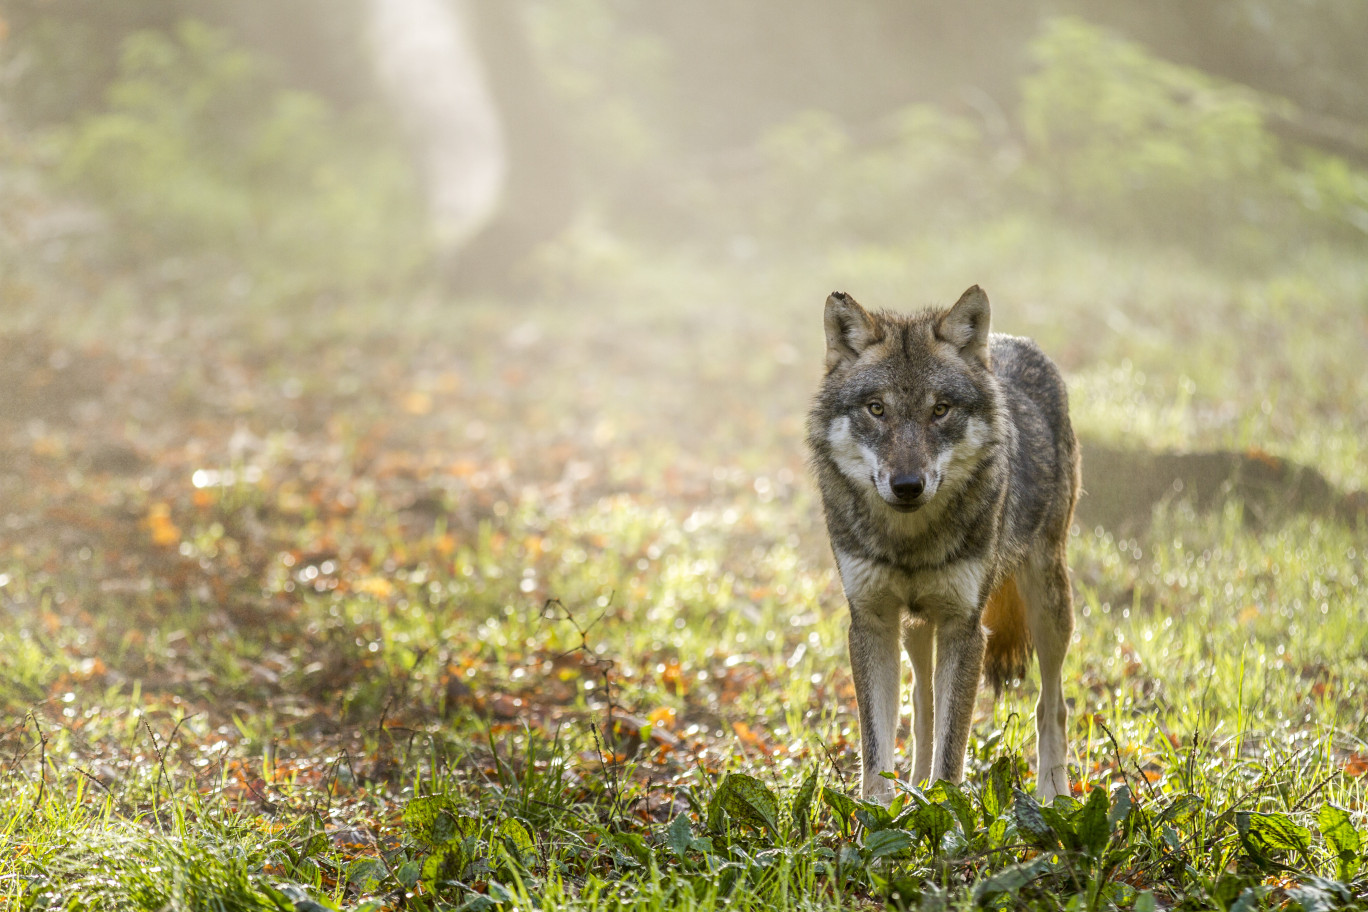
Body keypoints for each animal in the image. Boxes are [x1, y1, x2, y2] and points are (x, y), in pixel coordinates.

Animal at [798, 287, 1077, 803]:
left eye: (940, 409)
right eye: (877, 409)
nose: (908, 485)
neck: (911, 542)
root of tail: (1012, 341)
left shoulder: (964, 629)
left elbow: (953, 750)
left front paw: (943, 810)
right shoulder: (872, 623)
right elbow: (877, 746)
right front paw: (879, 812)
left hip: (1048, 606)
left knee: (1052, 705)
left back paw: (1055, 796)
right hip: (915, 628)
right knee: (921, 702)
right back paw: (914, 787)